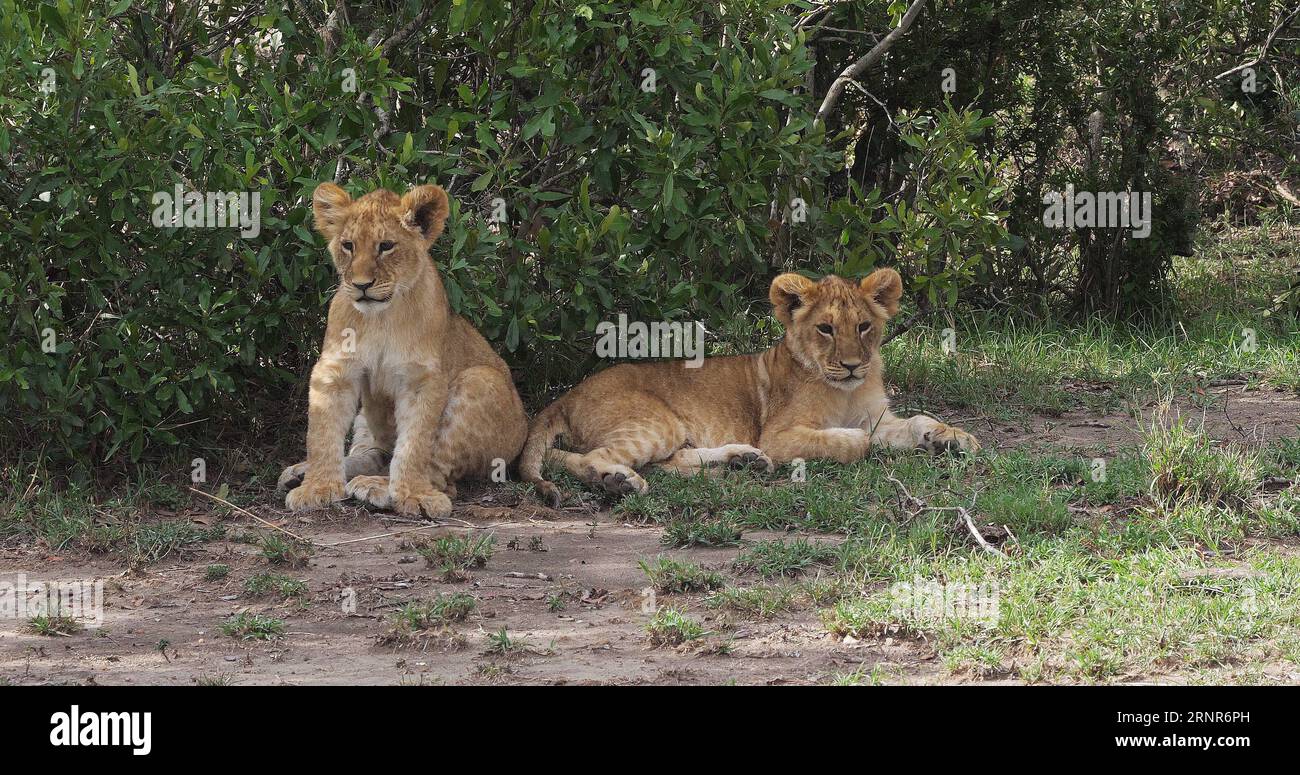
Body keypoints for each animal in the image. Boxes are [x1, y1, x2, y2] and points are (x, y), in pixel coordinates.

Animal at [278, 182, 528, 519]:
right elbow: (321, 432)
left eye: (386, 246)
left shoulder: (422, 378)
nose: (361, 285)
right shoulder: (335, 370)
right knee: (375, 452)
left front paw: (411, 494)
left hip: (481, 380)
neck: (382, 317)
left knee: (439, 473)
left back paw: (381, 488)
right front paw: (317, 487)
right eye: (348, 246)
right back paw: (303, 474)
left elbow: (415, 444)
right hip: (367, 419)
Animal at [519, 269, 978, 505]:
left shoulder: (877, 416)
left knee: (666, 461)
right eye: (826, 329)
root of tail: (567, 395)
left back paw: (742, 460)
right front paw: (855, 440)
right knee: (586, 457)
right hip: (655, 422)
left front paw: (953, 438)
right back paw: (618, 481)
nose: (851, 366)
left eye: (864, 326)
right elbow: (853, 441)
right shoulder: (779, 435)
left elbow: (918, 420)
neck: (846, 389)